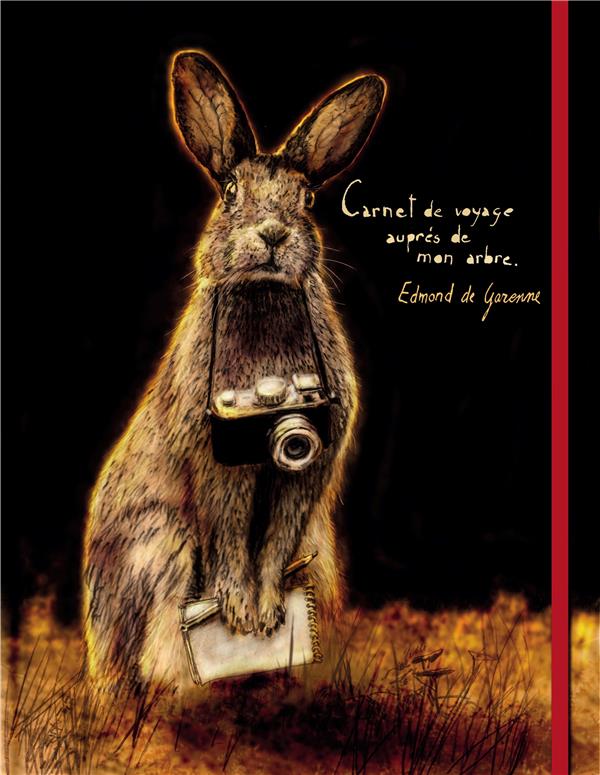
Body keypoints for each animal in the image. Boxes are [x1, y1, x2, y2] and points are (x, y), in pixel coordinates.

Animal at [83, 50, 386, 692]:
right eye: (228, 191)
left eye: (308, 199)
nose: (273, 234)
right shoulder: (221, 459)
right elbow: (229, 534)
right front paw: (242, 615)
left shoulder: (306, 467)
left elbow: (275, 541)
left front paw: (266, 615)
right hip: (161, 546)